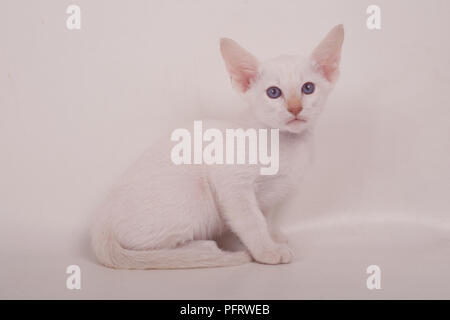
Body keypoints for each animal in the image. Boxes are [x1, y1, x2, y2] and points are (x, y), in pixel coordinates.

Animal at [91, 25, 344, 268]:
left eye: (308, 88)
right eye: (273, 93)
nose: (295, 108)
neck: (286, 144)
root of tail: (100, 224)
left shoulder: (269, 196)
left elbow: (264, 217)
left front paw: (272, 236)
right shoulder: (232, 185)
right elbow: (251, 221)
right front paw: (267, 250)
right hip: (194, 198)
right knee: (146, 249)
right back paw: (205, 248)